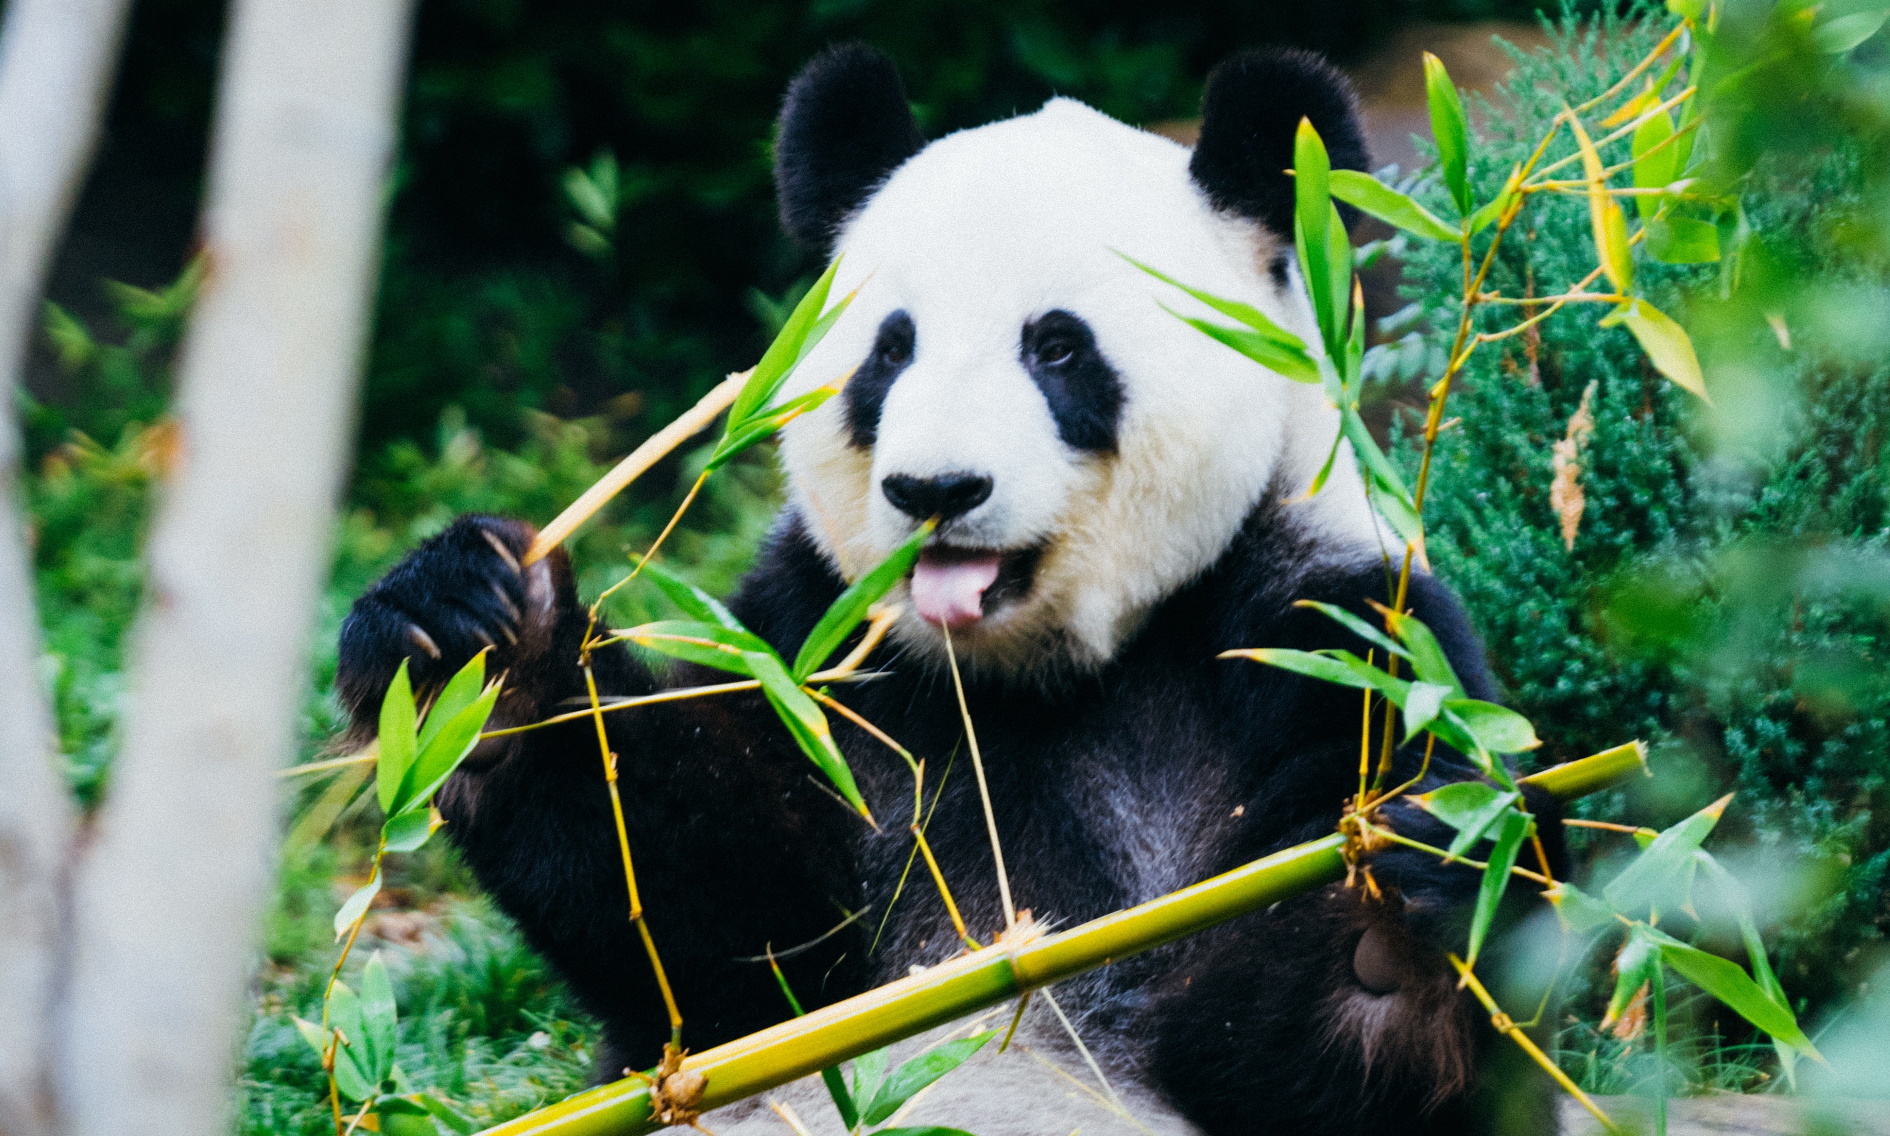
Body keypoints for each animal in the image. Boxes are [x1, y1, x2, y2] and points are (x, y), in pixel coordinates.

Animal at [336, 42, 1564, 1134]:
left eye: (1057, 348)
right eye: (891, 350)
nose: (936, 488)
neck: (1032, 673)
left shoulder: (1326, 632)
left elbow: (1300, 1059)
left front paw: (1397, 917)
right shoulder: (821, 649)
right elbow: (723, 941)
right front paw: (481, 649)